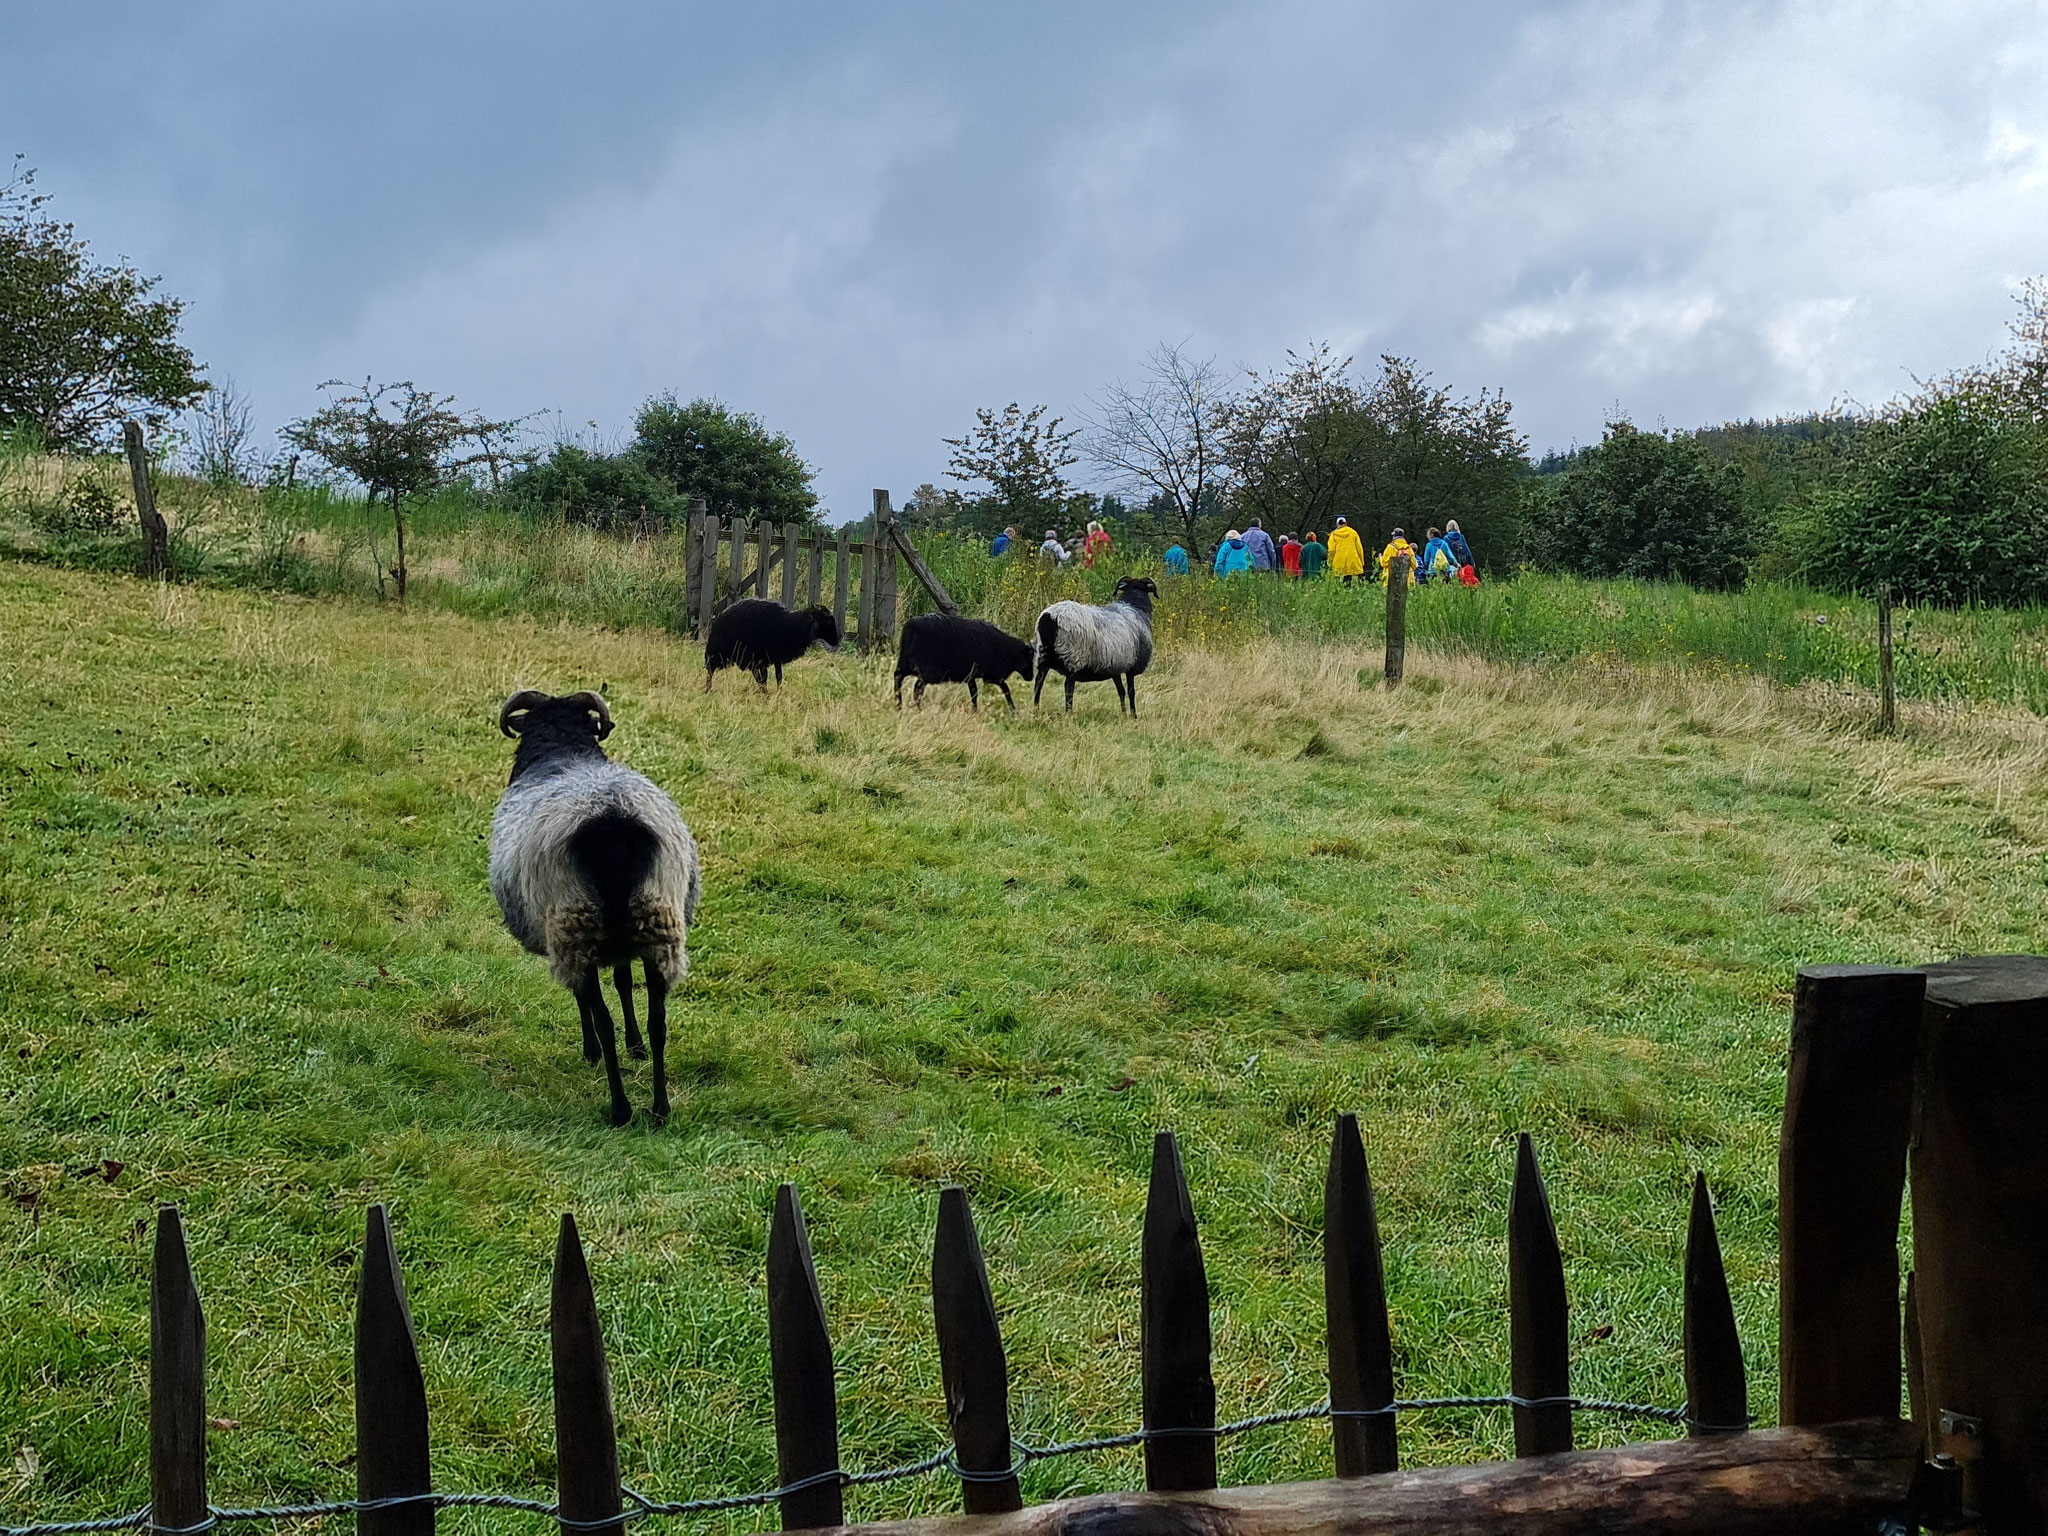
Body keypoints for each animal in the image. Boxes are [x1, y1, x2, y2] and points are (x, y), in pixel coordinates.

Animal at [489, 692, 704, 1122]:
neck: (564, 751)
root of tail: (612, 819)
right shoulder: (622, 943)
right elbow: (623, 982)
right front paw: (635, 1046)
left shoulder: (564, 936)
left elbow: (586, 998)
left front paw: (591, 1052)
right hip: (657, 922)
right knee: (659, 1022)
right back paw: (659, 1108)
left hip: (575, 923)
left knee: (601, 1017)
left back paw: (620, 1107)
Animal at [700, 606, 835, 696]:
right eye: (828, 621)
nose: (837, 641)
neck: (792, 625)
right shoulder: (757, 659)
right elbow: (763, 678)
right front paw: (767, 694)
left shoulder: (774, 658)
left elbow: (778, 676)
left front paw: (778, 692)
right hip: (716, 654)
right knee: (710, 671)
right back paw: (708, 689)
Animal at [892, 614, 1032, 708]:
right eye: (1029, 659)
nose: (1031, 677)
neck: (1007, 651)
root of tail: (910, 627)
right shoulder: (992, 675)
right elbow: (1005, 688)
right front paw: (1014, 711)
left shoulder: (971, 675)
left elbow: (974, 693)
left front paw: (974, 711)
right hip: (927, 669)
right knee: (917, 686)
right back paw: (917, 708)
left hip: (906, 662)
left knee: (898, 677)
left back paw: (899, 705)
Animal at [1032, 581, 1163, 720]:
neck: (1135, 607)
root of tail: (1050, 617)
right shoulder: (1131, 668)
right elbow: (1131, 692)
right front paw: (1133, 715)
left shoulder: (1114, 666)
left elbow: (1121, 691)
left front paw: (1123, 713)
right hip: (1073, 656)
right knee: (1068, 686)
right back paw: (1069, 713)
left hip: (1044, 657)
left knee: (1038, 683)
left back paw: (1036, 710)